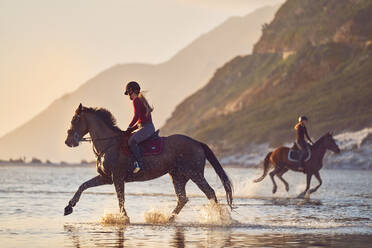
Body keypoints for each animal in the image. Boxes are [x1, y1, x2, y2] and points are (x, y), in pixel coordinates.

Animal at [64, 103, 232, 223]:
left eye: (74, 120)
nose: (68, 141)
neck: (109, 144)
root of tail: (197, 143)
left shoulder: (117, 178)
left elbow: (120, 198)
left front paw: (124, 218)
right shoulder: (106, 178)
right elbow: (83, 186)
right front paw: (69, 207)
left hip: (195, 173)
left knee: (209, 193)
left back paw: (220, 219)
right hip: (177, 176)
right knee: (182, 198)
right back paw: (168, 219)